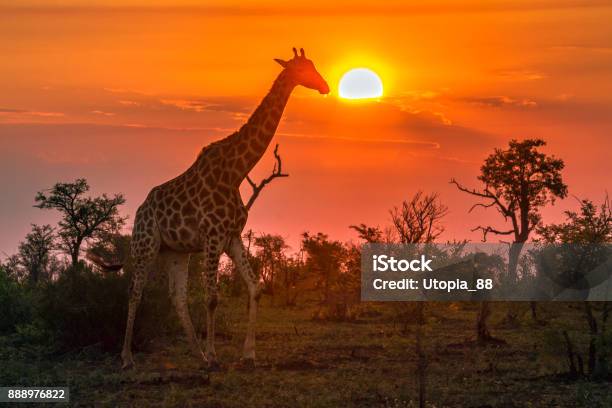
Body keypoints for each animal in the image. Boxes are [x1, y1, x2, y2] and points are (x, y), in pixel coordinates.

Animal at [120, 47, 330, 370]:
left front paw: (248, 354)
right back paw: (128, 357)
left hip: (176, 251)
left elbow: (255, 288)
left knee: (177, 296)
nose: (325, 86)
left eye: (313, 65)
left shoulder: (232, 236)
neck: (235, 171)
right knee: (135, 292)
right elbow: (212, 298)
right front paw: (215, 356)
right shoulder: (213, 237)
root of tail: (140, 209)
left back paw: (196, 353)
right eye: (303, 69)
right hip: (146, 245)